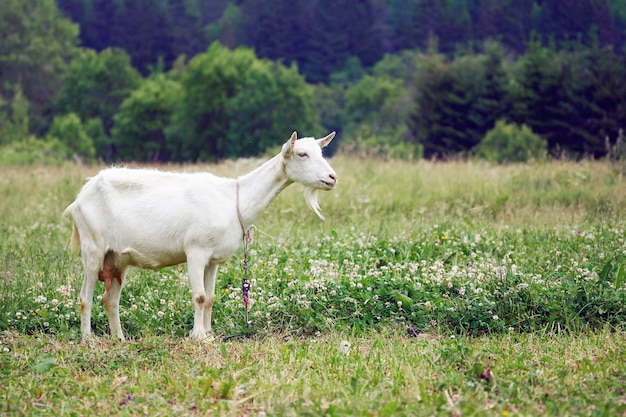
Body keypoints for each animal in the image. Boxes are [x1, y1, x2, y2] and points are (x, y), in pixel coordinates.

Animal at [64, 132, 336, 340]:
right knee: (85, 297)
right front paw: (197, 336)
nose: (332, 178)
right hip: (93, 248)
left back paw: (119, 339)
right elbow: (200, 296)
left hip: (116, 259)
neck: (234, 198)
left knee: (110, 299)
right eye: (302, 154)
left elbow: (212, 298)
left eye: (320, 152)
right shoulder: (196, 252)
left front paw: (209, 335)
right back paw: (87, 339)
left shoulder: (213, 260)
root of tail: (80, 198)